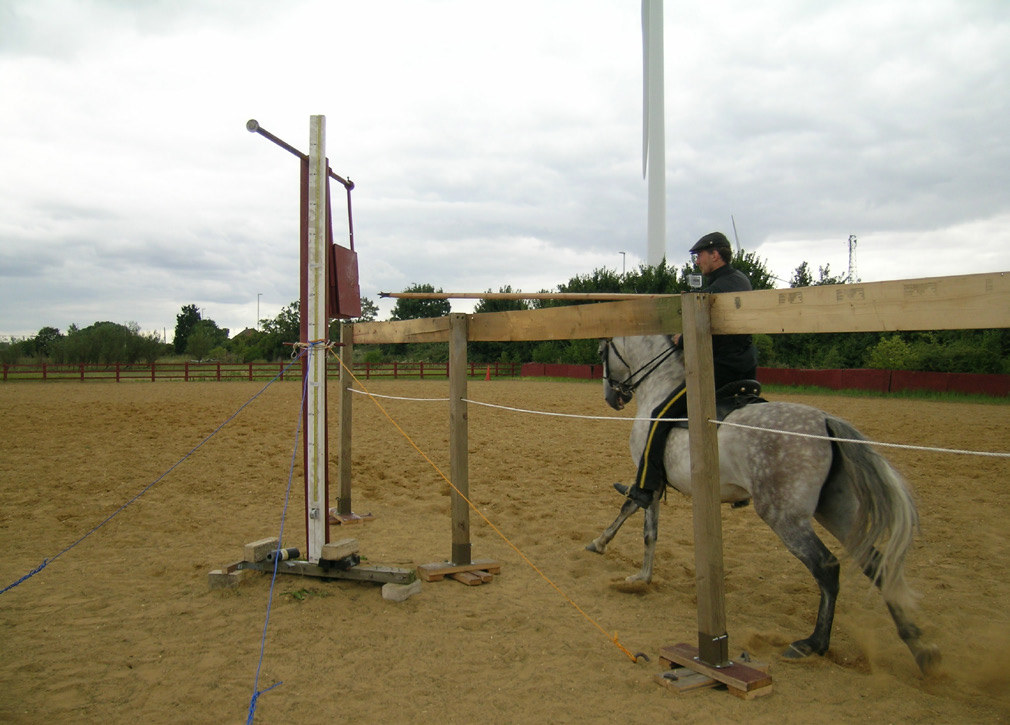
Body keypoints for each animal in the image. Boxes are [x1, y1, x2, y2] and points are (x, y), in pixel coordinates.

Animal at [589, 335, 941, 674]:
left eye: (602, 352)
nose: (612, 397)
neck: (660, 384)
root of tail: (825, 422)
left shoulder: (650, 479)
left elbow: (639, 517)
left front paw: (625, 565)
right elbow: (640, 520)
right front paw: (625, 563)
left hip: (785, 518)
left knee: (827, 568)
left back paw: (812, 644)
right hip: (838, 513)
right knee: (875, 563)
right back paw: (919, 647)